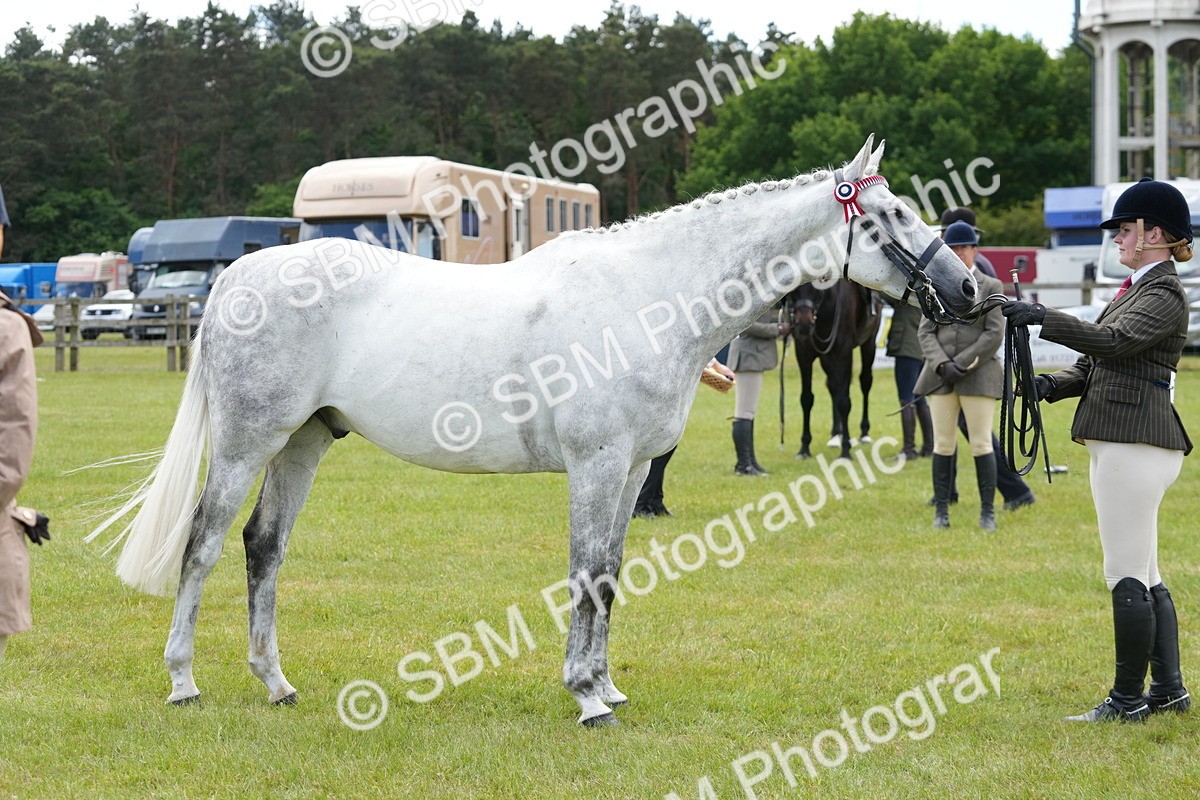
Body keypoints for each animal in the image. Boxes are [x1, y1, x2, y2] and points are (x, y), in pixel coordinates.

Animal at [786, 277, 882, 460]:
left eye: (815, 287)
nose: (804, 324)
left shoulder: (844, 353)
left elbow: (844, 402)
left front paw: (845, 450)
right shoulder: (803, 354)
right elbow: (806, 399)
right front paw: (804, 448)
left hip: (869, 343)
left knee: (865, 382)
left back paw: (864, 433)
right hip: (827, 358)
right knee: (833, 387)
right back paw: (836, 434)